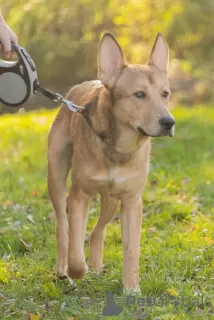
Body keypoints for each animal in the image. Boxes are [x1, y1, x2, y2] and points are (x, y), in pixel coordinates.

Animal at [47, 31, 175, 292]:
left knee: (97, 232)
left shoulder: (132, 201)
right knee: (63, 227)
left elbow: (132, 250)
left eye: (165, 94)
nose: (169, 122)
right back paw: (64, 269)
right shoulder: (79, 195)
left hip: (111, 201)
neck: (119, 148)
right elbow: (76, 250)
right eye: (139, 94)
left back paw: (96, 267)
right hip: (56, 178)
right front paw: (77, 270)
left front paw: (132, 288)